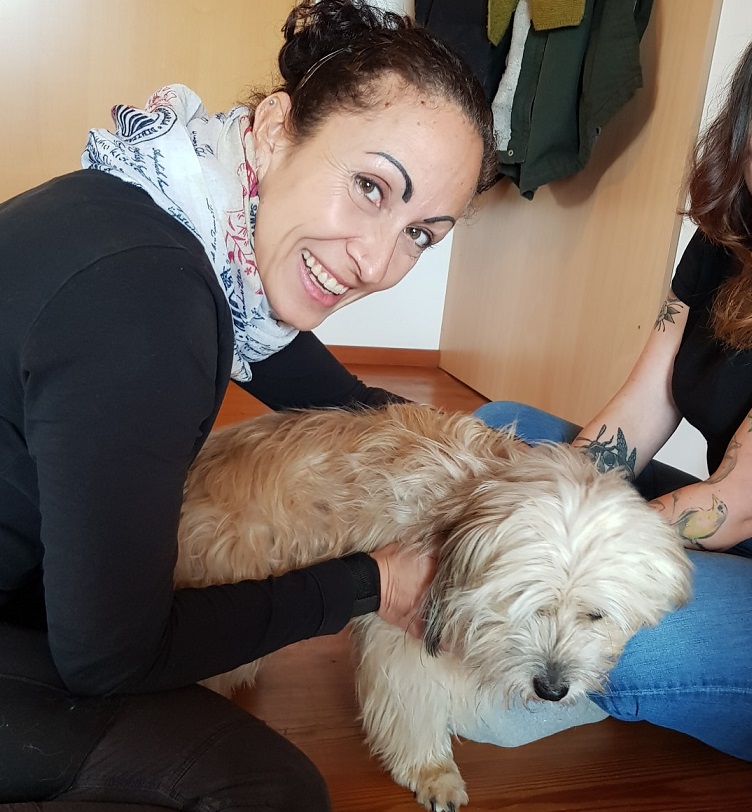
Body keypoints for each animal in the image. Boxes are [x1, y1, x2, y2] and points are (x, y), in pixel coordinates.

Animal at [175, 403, 692, 812]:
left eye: (595, 615)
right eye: (528, 606)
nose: (551, 690)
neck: (473, 499)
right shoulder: (403, 637)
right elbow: (414, 707)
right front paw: (432, 772)